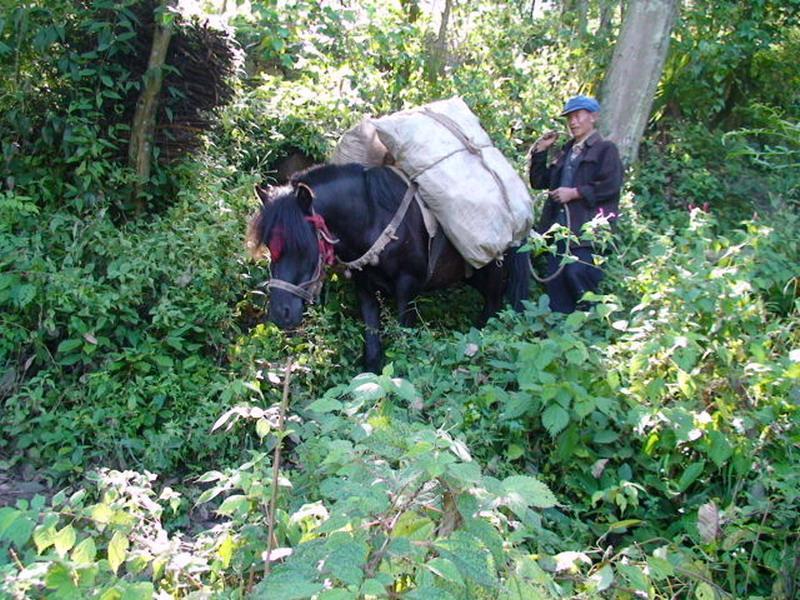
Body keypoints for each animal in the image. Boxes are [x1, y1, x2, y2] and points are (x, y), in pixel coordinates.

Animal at [245, 162, 532, 372]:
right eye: (269, 246)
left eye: (303, 246)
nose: (280, 313)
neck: (373, 218)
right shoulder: (364, 288)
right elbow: (373, 348)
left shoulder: (407, 288)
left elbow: (404, 342)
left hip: (494, 274)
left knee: (493, 308)